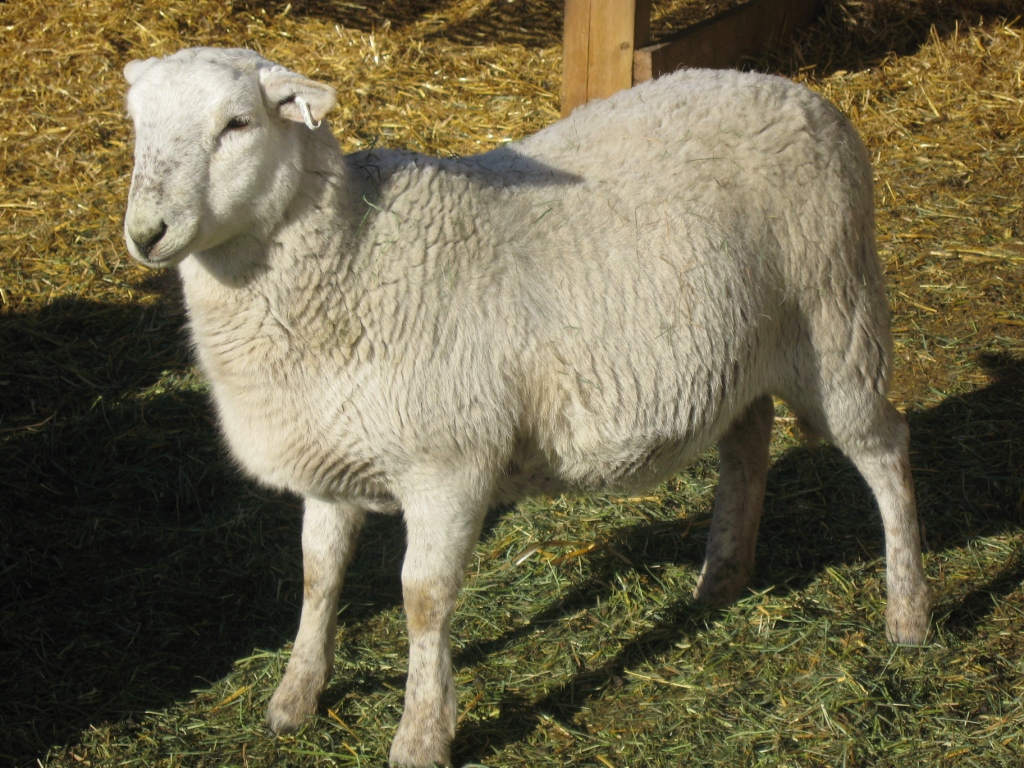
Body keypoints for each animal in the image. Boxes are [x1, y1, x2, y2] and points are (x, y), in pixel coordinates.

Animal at [122, 46, 930, 767]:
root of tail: (799, 92)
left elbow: (422, 597)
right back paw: (722, 577)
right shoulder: (329, 457)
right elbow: (319, 575)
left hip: (836, 317)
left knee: (887, 448)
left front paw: (421, 736)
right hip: (742, 346)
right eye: (136, 124)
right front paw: (294, 699)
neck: (354, 253)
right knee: (749, 441)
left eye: (237, 124)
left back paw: (909, 613)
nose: (146, 233)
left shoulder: (448, 464)